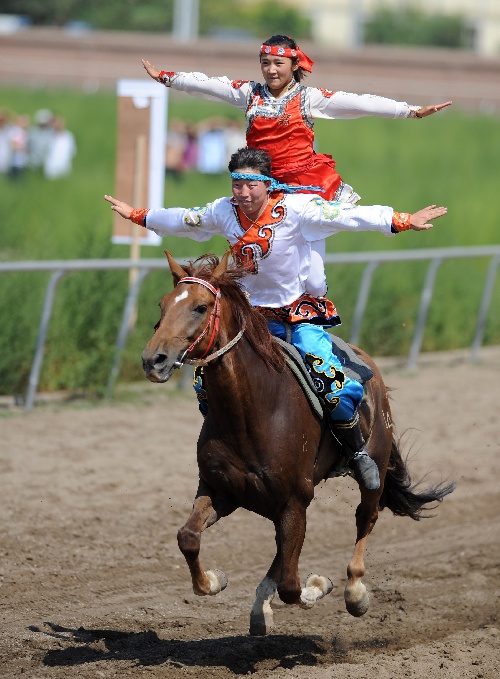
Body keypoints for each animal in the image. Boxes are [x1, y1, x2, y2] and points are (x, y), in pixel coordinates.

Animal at [142, 251, 458, 636]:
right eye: (163, 304)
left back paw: (355, 592)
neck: (253, 411)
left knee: (365, 516)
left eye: (200, 307)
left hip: (375, 466)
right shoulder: (222, 490)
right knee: (282, 553)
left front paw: (320, 585)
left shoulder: (294, 499)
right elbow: (188, 538)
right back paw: (261, 607)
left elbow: (293, 587)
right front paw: (216, 580)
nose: (153, 359)